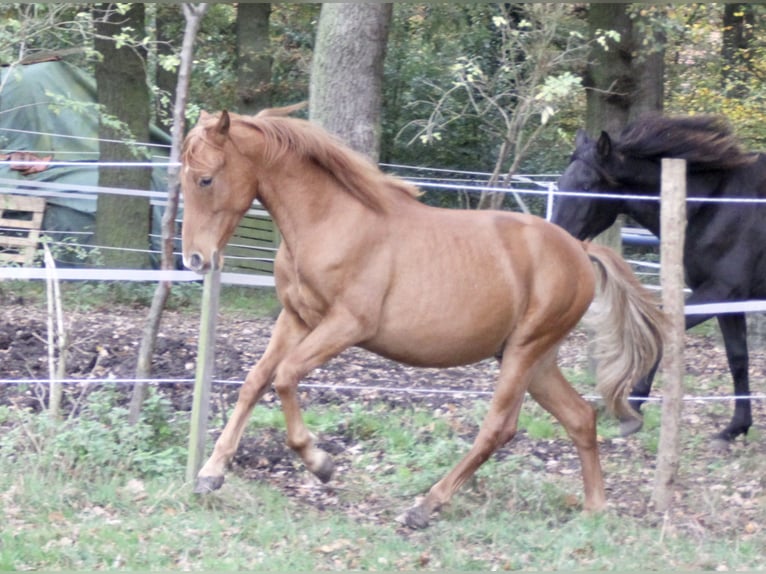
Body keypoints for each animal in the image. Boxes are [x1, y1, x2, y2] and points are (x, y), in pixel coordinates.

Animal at [182, 106, 664, 528]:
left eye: (205, 179)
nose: (195, 259)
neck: (331, 221)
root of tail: (579, 249)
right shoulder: (296, 319)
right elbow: (254, 381)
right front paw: (210, 473)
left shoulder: (347, 325)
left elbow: (284, 377)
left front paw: (321, 464)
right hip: (534, 358)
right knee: (580, 417)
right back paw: (595, 509)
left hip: (526, 351)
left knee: (499, 427)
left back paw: (425, 507)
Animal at [556, 115, 764, 448]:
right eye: (561, 184)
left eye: (587, 186)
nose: (555, 234)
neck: (713, 204)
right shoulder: (727, 299)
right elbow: (738, 359)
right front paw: (735, 428)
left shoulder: (718, 291)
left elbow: (658, 331)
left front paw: (633, 406)